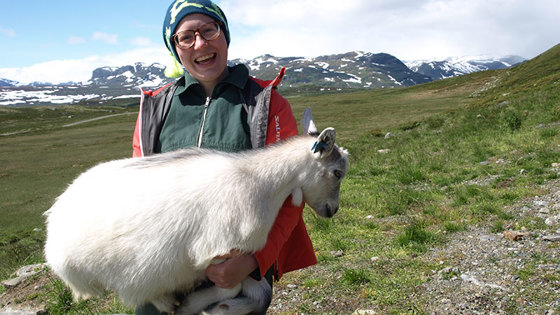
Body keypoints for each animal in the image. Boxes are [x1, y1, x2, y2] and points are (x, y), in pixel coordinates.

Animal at [43, 108, 348, 314]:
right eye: (337, 172)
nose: (332, 210)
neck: (264, 183)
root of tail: (56, 216)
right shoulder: (218, 251)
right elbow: (230, 287)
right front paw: (196, 305)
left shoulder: (241, 258)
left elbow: (259, 293)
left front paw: (221, 308)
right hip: (112, 270)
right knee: (136, 287)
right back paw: (168, 300)